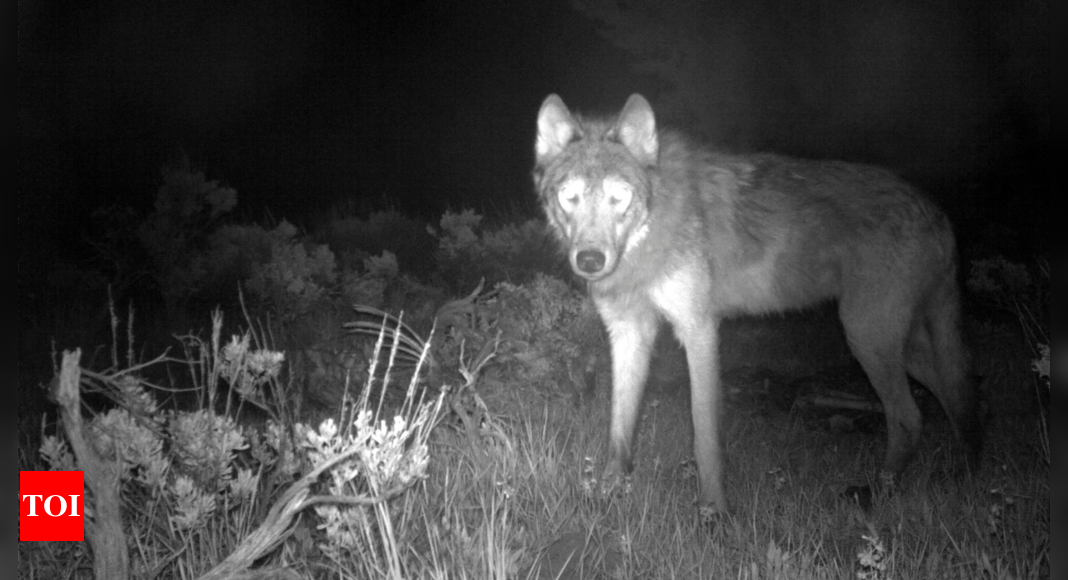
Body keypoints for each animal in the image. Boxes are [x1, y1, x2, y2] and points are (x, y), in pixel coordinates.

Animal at [534, 92, 982, 514]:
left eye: (619, 197)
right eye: (570, 197)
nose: (590, 260)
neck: (649, 233)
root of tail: (936, 211)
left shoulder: (698, 329)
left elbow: (704, 437)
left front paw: (714, 512)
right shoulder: (629, 333)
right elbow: (619, 430)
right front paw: (606, 495)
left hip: (866, 337)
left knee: (910, 416)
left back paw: (879, 492)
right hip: (896, 346)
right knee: (955, 395)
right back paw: (963, 474)